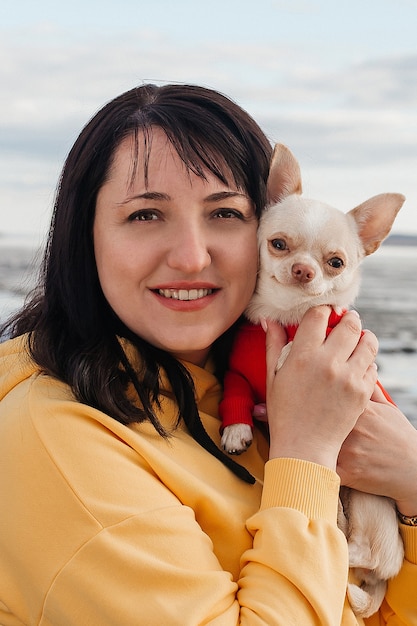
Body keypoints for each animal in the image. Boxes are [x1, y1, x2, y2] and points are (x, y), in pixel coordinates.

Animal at [219, 143, 404, 616]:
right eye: (278, 244)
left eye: (336, 263)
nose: (303, 269)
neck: (285, 315)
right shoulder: (237, 372)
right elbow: (235, 390)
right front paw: (236, 430)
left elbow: (306, 338)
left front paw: (292, 351)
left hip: (369, 500)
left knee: (358, 550)